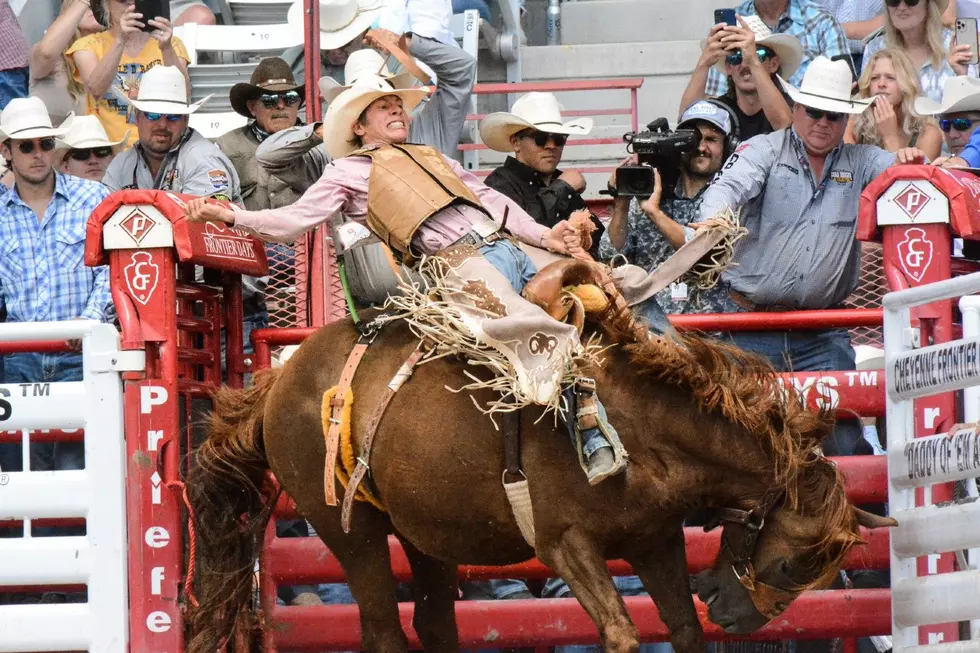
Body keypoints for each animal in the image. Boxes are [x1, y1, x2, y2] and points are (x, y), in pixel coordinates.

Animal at [182, 314, 896, 648]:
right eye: (790, 566)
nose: (736, 614)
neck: (640, 429)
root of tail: (278, 378)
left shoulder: (655, 540)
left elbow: (682, 629)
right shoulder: (564, 545)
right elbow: (621, 631)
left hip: (427, 535)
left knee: (434, 623)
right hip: (346, 529)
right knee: (383, 628)